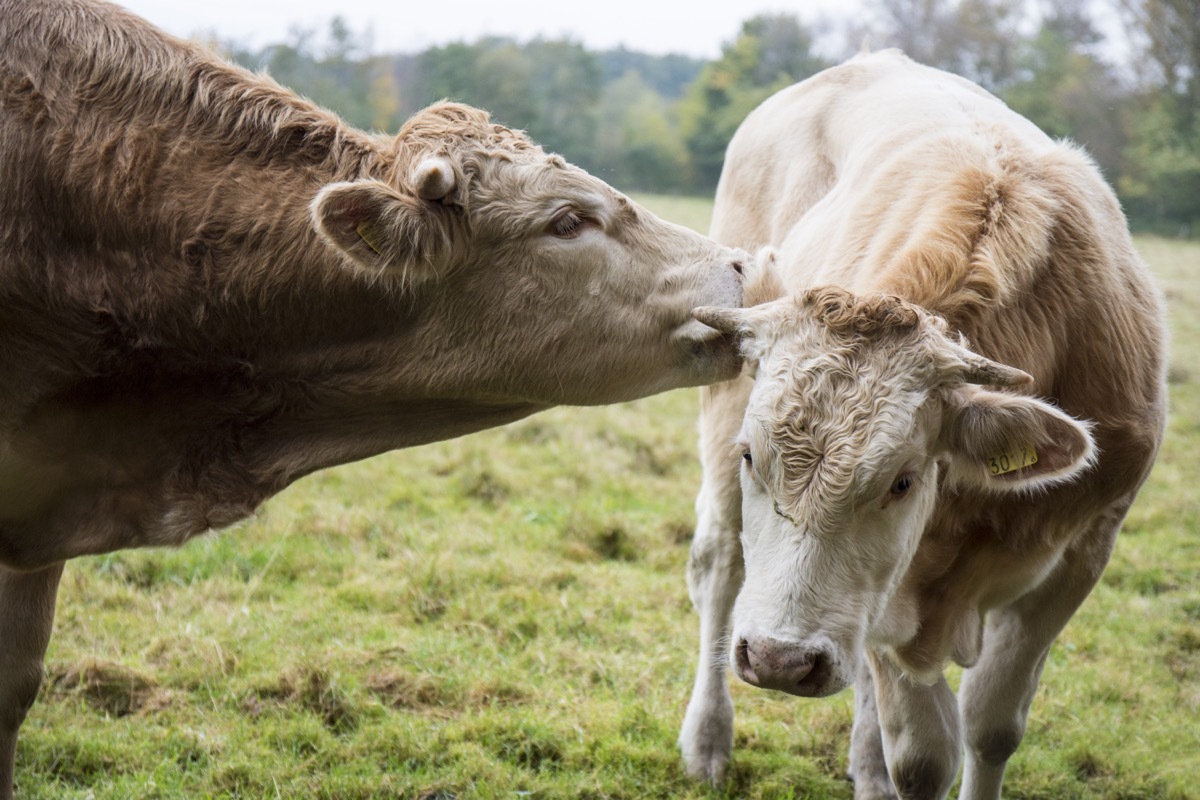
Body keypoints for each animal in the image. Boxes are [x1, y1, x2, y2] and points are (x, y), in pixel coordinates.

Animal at [678, 51, 1166, 800]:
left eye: (903, 481)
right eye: (752, 458)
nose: (780, 659)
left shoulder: (1083, 551)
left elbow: (991, 725)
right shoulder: (891, 599)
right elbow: (925, 756)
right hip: (725, 412)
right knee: (719, 566)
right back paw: (708, 739)